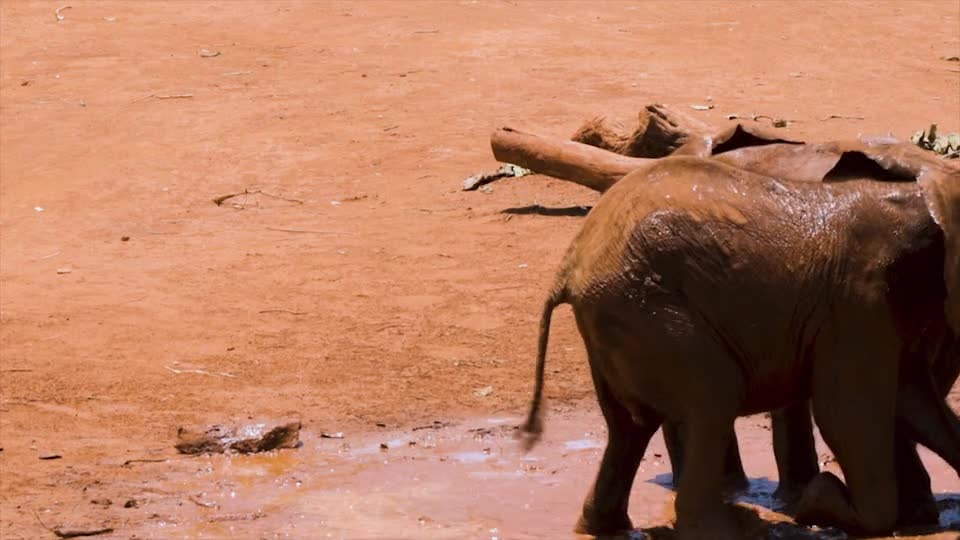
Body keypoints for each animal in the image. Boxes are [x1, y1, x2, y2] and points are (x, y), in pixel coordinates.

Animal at [516, 154, 960, 536]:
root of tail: (570, 265)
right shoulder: (857, 300)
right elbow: (847, 412)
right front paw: (818, 500)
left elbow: (915, 400)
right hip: (645, 310)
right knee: (712, 398)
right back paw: (736, 527)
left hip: (618, 321)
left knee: (628, 428)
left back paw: (603, 526)